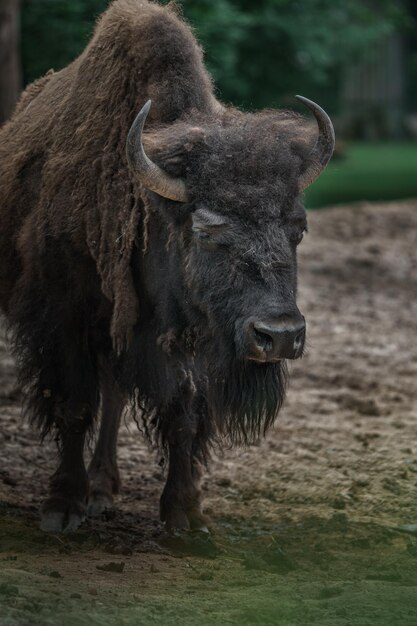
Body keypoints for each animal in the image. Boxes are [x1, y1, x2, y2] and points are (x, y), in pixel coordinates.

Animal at [0, 0, 334, 532]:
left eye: (297, 228)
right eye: (206, 230)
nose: (279, 336)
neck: (150, 211)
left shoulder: (188, 337)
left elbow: (184, 415)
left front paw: (185, 515)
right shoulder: (64, 319)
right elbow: (74, 405)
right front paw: (62, 505)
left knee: (115, 394)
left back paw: (104, 487)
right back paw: (92, 492)